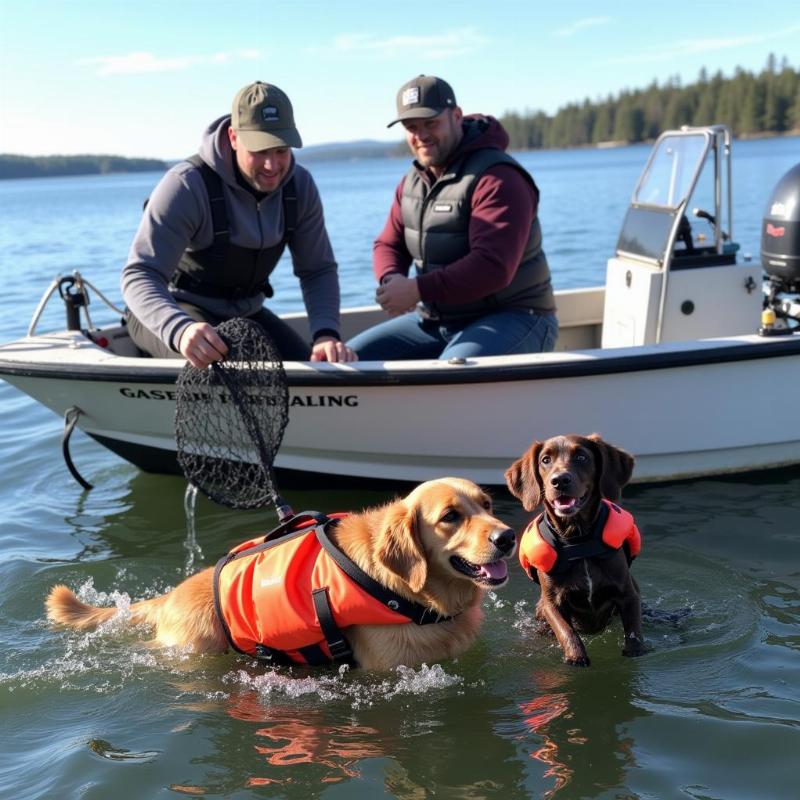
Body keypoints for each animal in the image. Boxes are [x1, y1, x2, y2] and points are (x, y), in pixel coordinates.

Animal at [506, 434, 648, 664]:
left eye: (582, 457)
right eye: (545, 460)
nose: (560, 480)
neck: (578, 539)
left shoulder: (628, 595)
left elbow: (634, 631)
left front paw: (636, 651)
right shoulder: (552, 603)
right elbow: (566, 631)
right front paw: (576, 656)